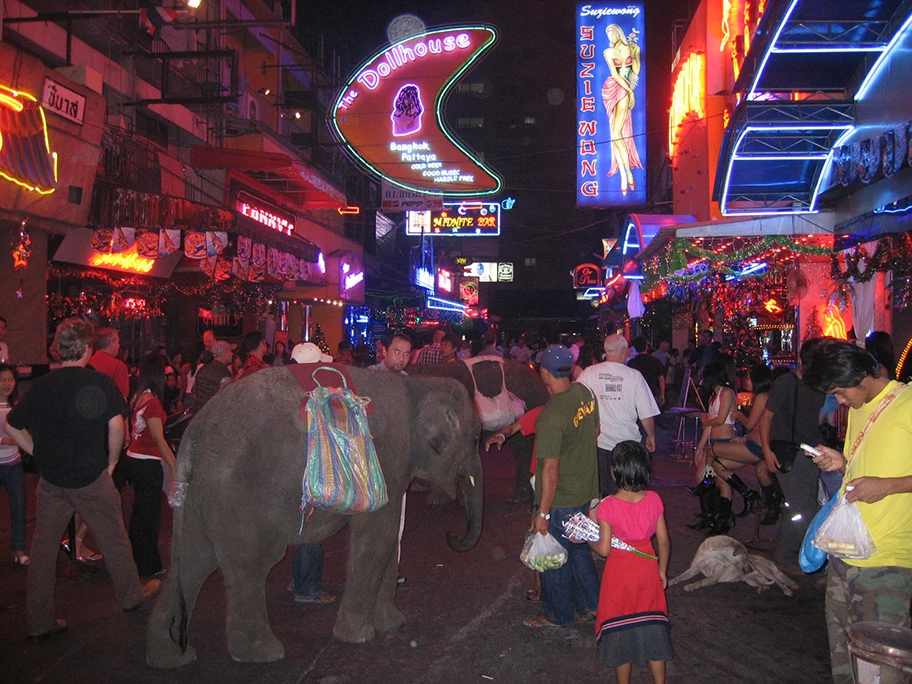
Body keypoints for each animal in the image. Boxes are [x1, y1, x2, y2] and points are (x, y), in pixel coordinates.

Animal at [145, 366, 480, 664]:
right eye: (474, 438)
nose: (451, 534)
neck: (419, 384)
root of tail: (191, 438)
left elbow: (385, 540)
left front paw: (393, 624)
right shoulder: (390, 458)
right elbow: (378, 537)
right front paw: (360, 636)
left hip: (200, 499)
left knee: (192, 562)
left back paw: (170, 657)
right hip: (234, 497)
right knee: (250, 564)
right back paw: (263, 654)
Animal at [668, 536, 800, 596]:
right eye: (745, 559)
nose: (748, 570)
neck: (712, 555)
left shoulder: (713, 578)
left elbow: (700, 581)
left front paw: (691, 586)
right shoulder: (693, 569)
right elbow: (680, 576)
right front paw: (670, 581)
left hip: (762, 568)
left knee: (779, 581)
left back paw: (787, 589)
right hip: (749, 580)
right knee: (762, 583)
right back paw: (762, 588)